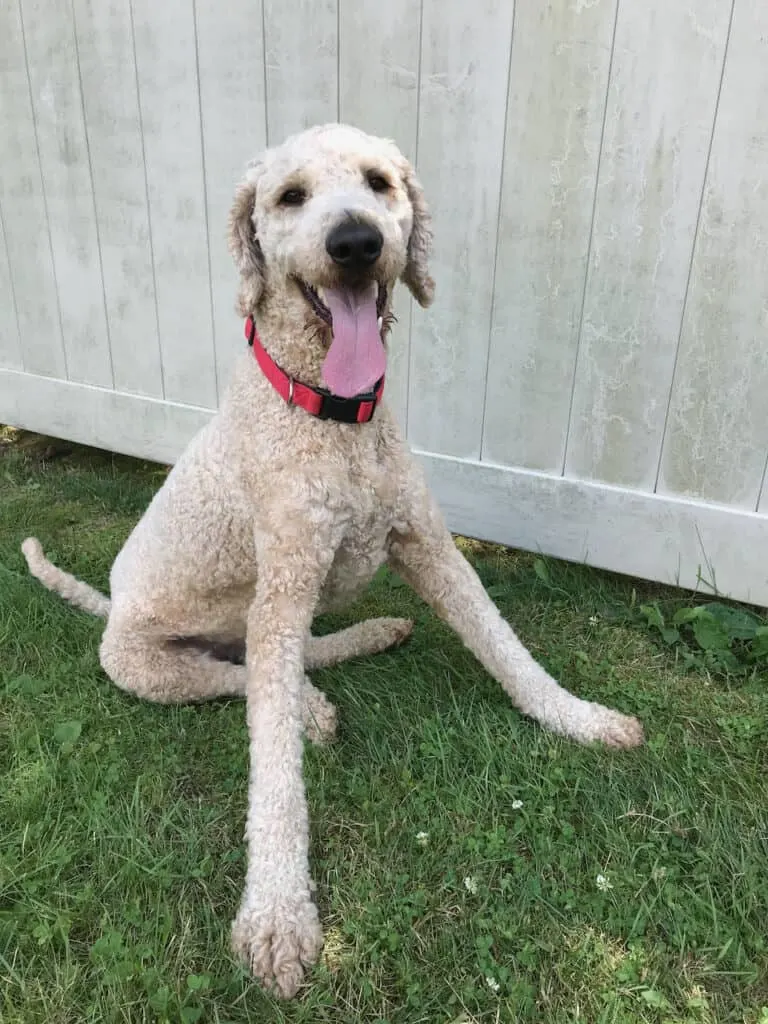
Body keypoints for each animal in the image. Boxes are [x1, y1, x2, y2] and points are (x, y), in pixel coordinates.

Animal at [22, 121, 643, 999]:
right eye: (290, 197)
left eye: (379, 182)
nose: (356, 242)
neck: (333, 416)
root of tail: (111, 609)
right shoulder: (284, 589)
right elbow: (274, 776)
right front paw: (277, 914)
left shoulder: (426, 545)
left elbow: (504, 645)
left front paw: (577, 718)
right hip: (148, 667)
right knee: (241, 681)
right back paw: (313, 708)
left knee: (285, 663)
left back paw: (368, 640)